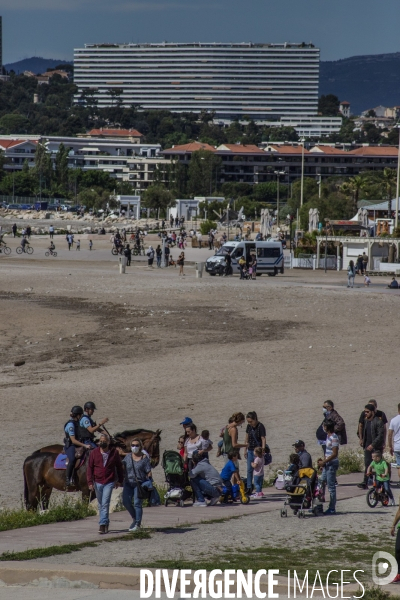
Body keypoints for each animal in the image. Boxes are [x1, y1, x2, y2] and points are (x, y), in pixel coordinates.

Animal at [23, 428, 161, 508]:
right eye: (156, 444)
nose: (155, 461)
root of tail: (30, 457)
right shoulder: (86, 489)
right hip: (34, 489)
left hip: (46, 488)